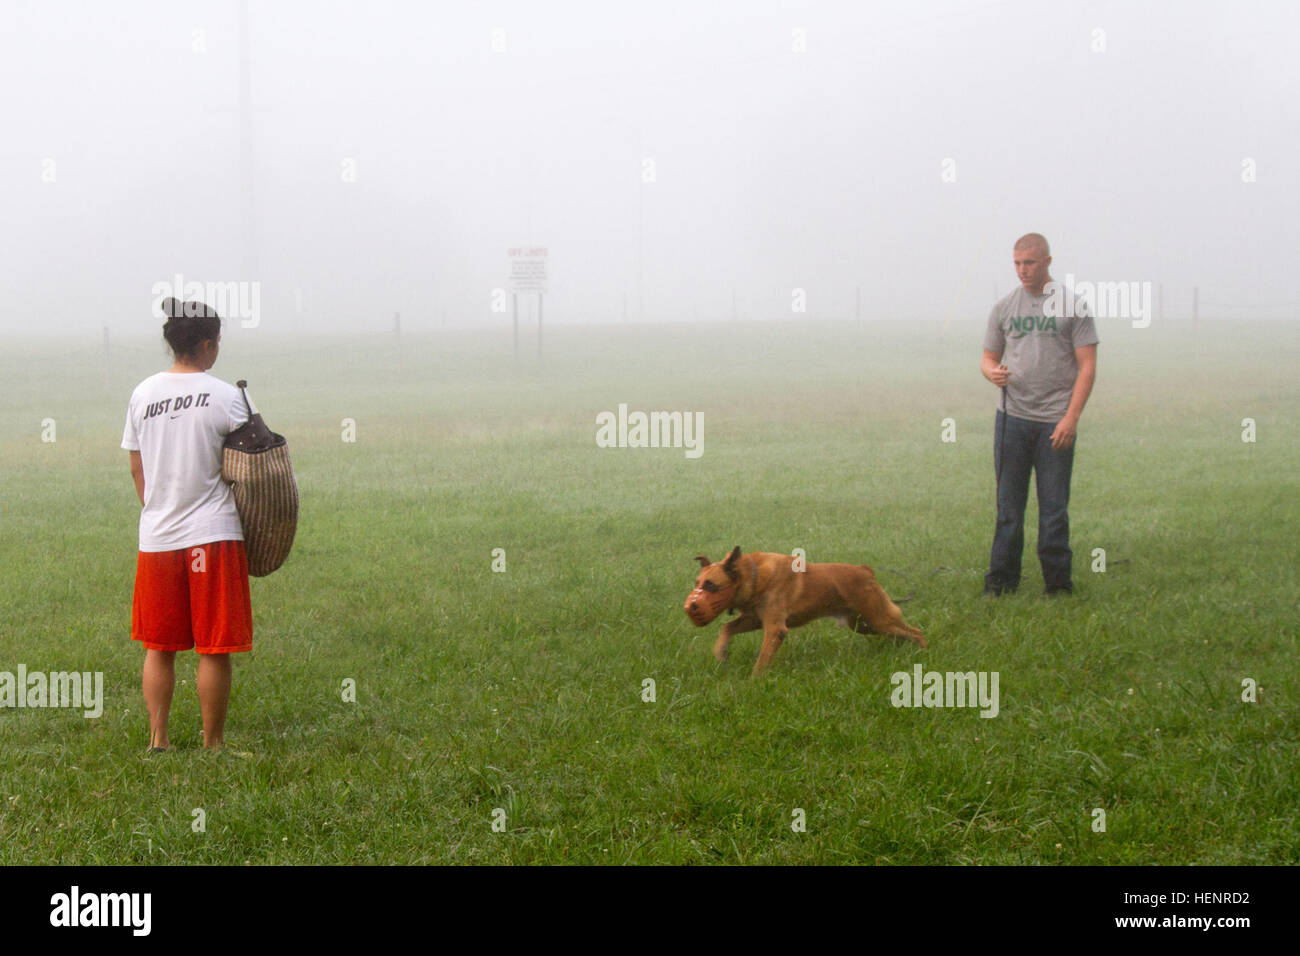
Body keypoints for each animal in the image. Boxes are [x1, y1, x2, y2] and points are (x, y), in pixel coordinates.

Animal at [686, 548, 930, 676]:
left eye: (710, 585)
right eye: (697, 583)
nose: (691, 606)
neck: (754, 576)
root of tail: (865, 571)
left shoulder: (775, 628)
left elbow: (763, 659)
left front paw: (755, 680)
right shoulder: (755, 619)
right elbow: (727, 628)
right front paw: (721, 653)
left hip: (878, 619)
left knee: (916, 632)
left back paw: (922, 653)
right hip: (864, 625)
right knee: (902, 633)